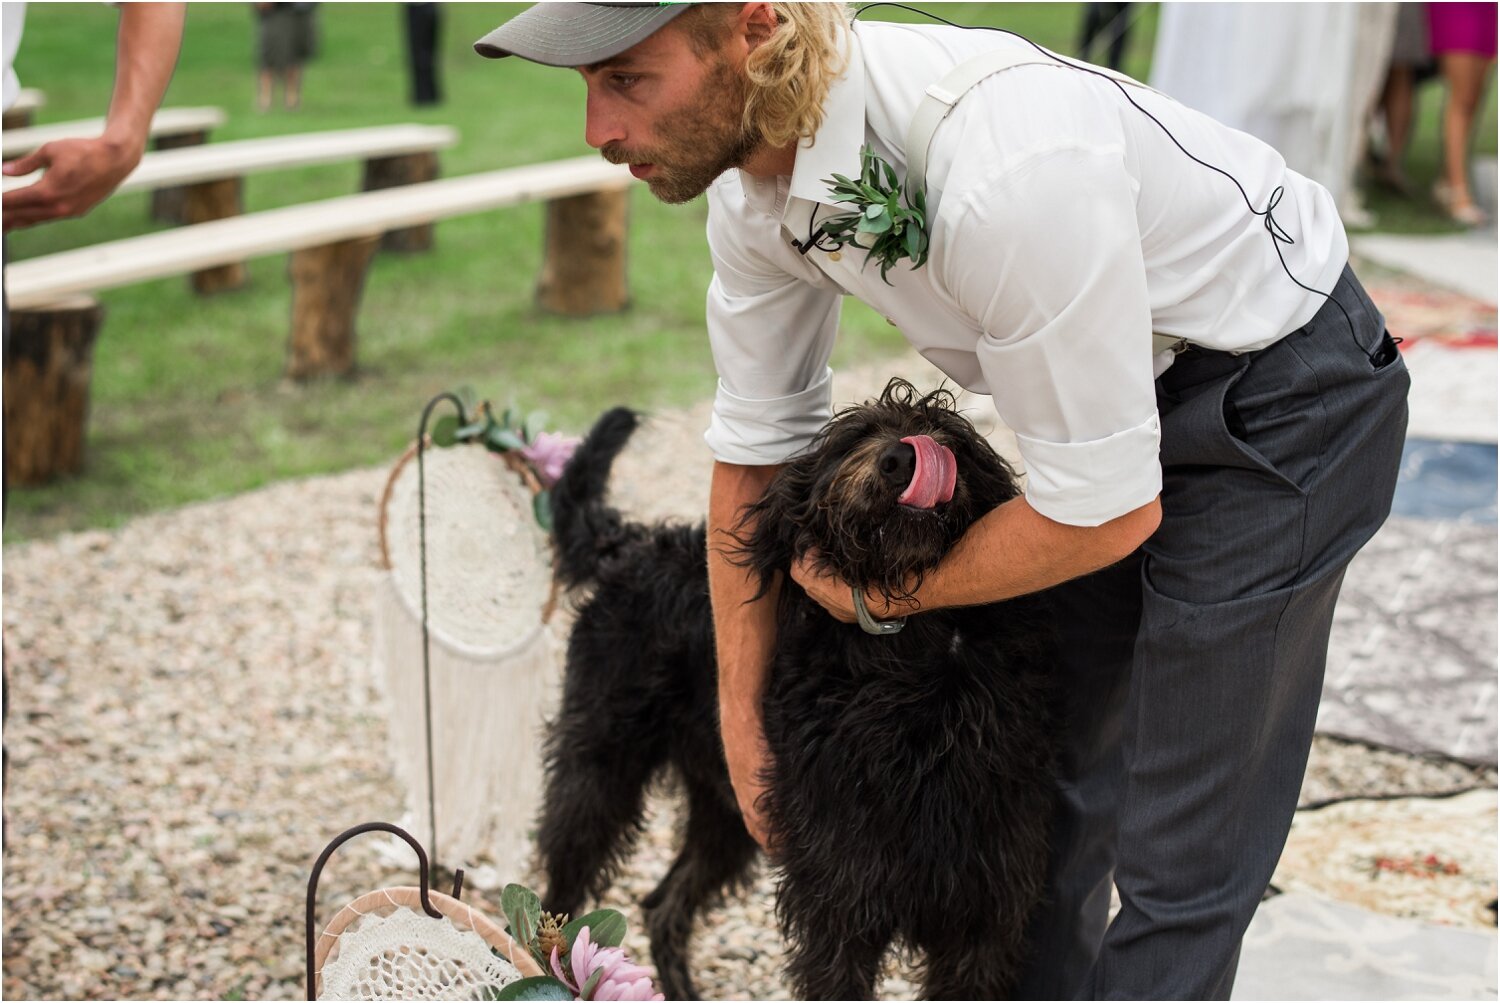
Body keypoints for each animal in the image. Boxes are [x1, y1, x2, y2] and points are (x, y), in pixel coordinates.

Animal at [540, 379, 1056, 995]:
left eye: (945, 435)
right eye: (854, 437)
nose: (903, 458)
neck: (915, 681)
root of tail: (629, 548)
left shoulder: (984, 911)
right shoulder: (839, 900)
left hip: (728, 808)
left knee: (662, 903)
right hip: (601, 770)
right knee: (559, 901)